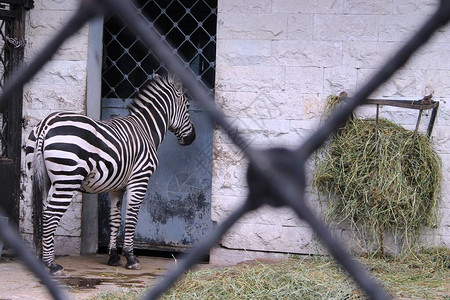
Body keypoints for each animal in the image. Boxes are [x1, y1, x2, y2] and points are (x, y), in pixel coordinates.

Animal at [25, 73, 195, 274]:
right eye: (188, 106)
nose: (192, 138)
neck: (145, 129)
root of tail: (46, 123)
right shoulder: (139, 179)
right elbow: (131, 218)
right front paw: (131, 257)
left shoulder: (117, 187)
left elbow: (115, 219)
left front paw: (113, 256)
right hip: (67, 180)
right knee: (50, 215)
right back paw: (51, 264)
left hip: (41, 177)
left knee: (37, 214)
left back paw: (40, 258)